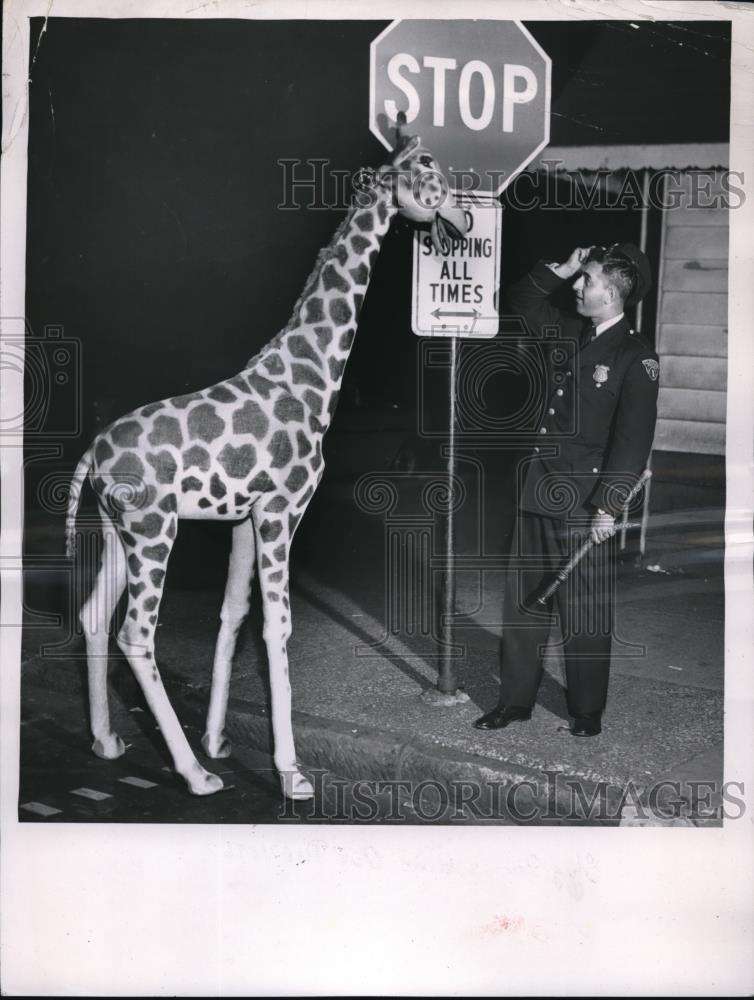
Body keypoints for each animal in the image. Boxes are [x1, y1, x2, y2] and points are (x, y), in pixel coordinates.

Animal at [66, 129, 464, 804]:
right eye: (430, 163)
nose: (464, 215)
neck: (312, 378)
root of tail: (91, 454)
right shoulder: (283, 509)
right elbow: (277, 627)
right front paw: (291, 773)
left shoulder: (242, 518)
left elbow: (234, 614)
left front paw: (219, 738)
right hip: (154, 529)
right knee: (136, 632)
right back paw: (194, 777)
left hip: (116, 528)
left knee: (95, 616)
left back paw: (107, 741)